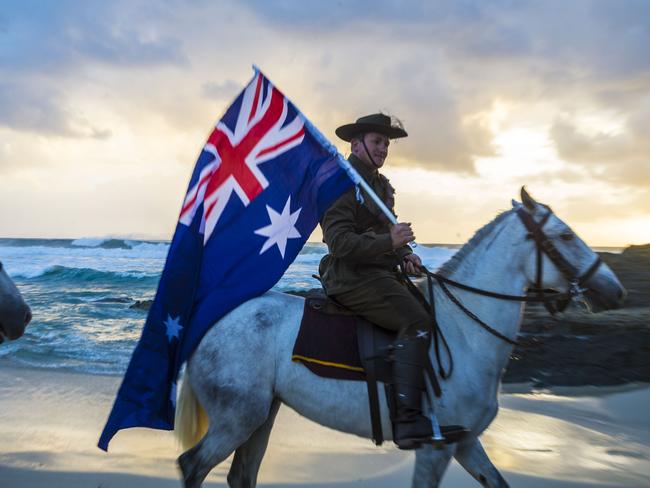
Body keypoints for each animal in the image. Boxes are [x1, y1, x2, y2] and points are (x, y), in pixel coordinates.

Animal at [172, 192, 624, 488]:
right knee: (192, 465)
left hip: (261, 416)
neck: (464, 334)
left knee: (240, 474)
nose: (614, 291)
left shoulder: (466, 443)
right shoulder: (436, 449)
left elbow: (497, 482)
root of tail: (210, 323)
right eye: (565, 237)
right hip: (237, 419)